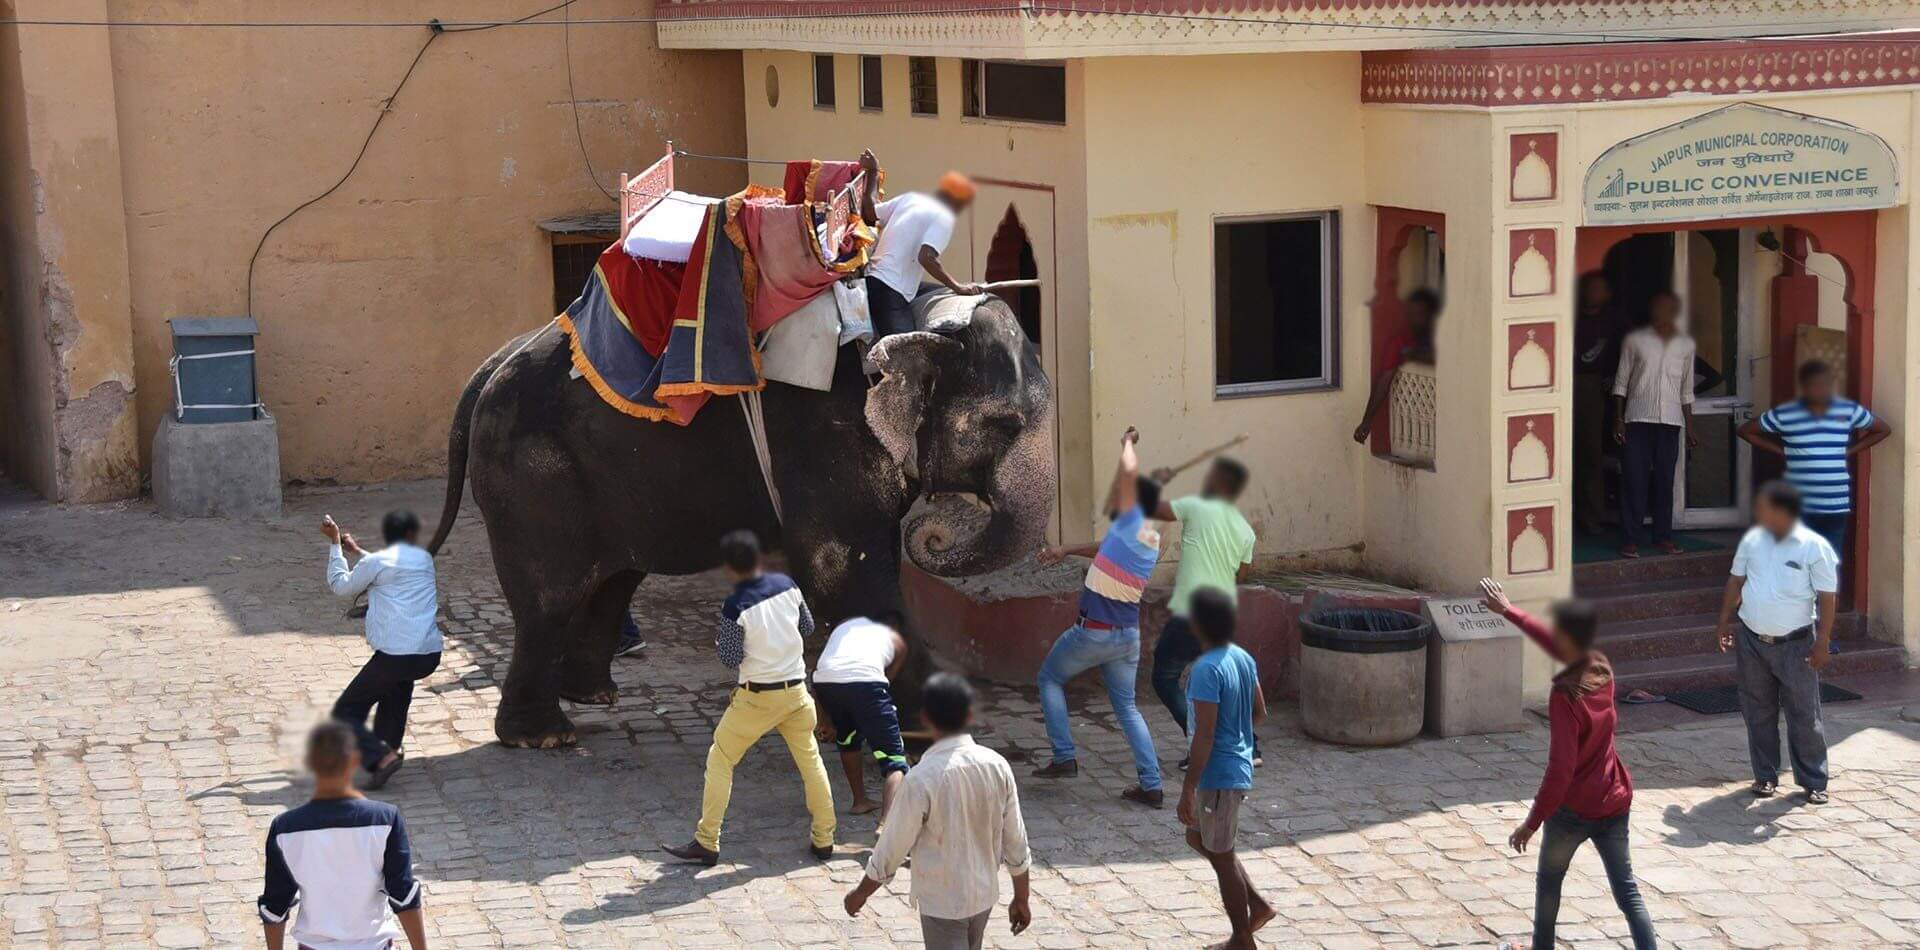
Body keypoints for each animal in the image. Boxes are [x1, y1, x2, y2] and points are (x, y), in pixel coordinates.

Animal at [428, 297, 1059, 752]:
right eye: (1004, 424)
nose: (931, 530)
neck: (915, 322)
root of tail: (491, 367)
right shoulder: (830, 443)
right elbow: (839, 572)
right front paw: (927, 728)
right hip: (535, 478)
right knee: (550, 596)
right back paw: (544, 736)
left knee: (612, 581)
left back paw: (594, 696)